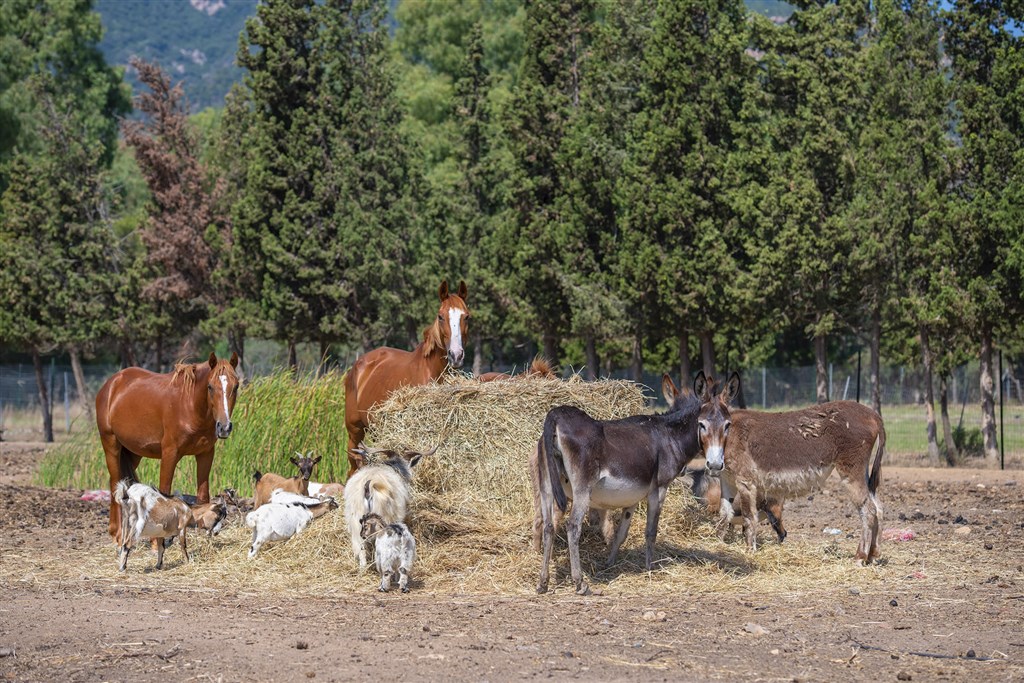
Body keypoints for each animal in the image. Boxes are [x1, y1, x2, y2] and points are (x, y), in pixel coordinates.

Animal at [96, 356, 239, 540]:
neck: (190, 406)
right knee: (115, 483)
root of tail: (110, 384)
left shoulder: (205, 454)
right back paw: (117, 532)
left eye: (236, 386)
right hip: (111, 444)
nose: (224, 427)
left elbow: (202, 495)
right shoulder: (170, 454)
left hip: (132, 452)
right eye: (210, 386)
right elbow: (163, 493)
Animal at [708, 397, 884, 565]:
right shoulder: (727, 479)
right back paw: (872, 556)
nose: (712, 464)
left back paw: (860, 557)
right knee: (878, 508)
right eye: (703, 426)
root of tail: (873, 414)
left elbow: (748, 518)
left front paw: (749, 552)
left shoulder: (745, 481)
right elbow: (725, 513)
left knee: (868, 510)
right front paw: (718, 544)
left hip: (851, 470)